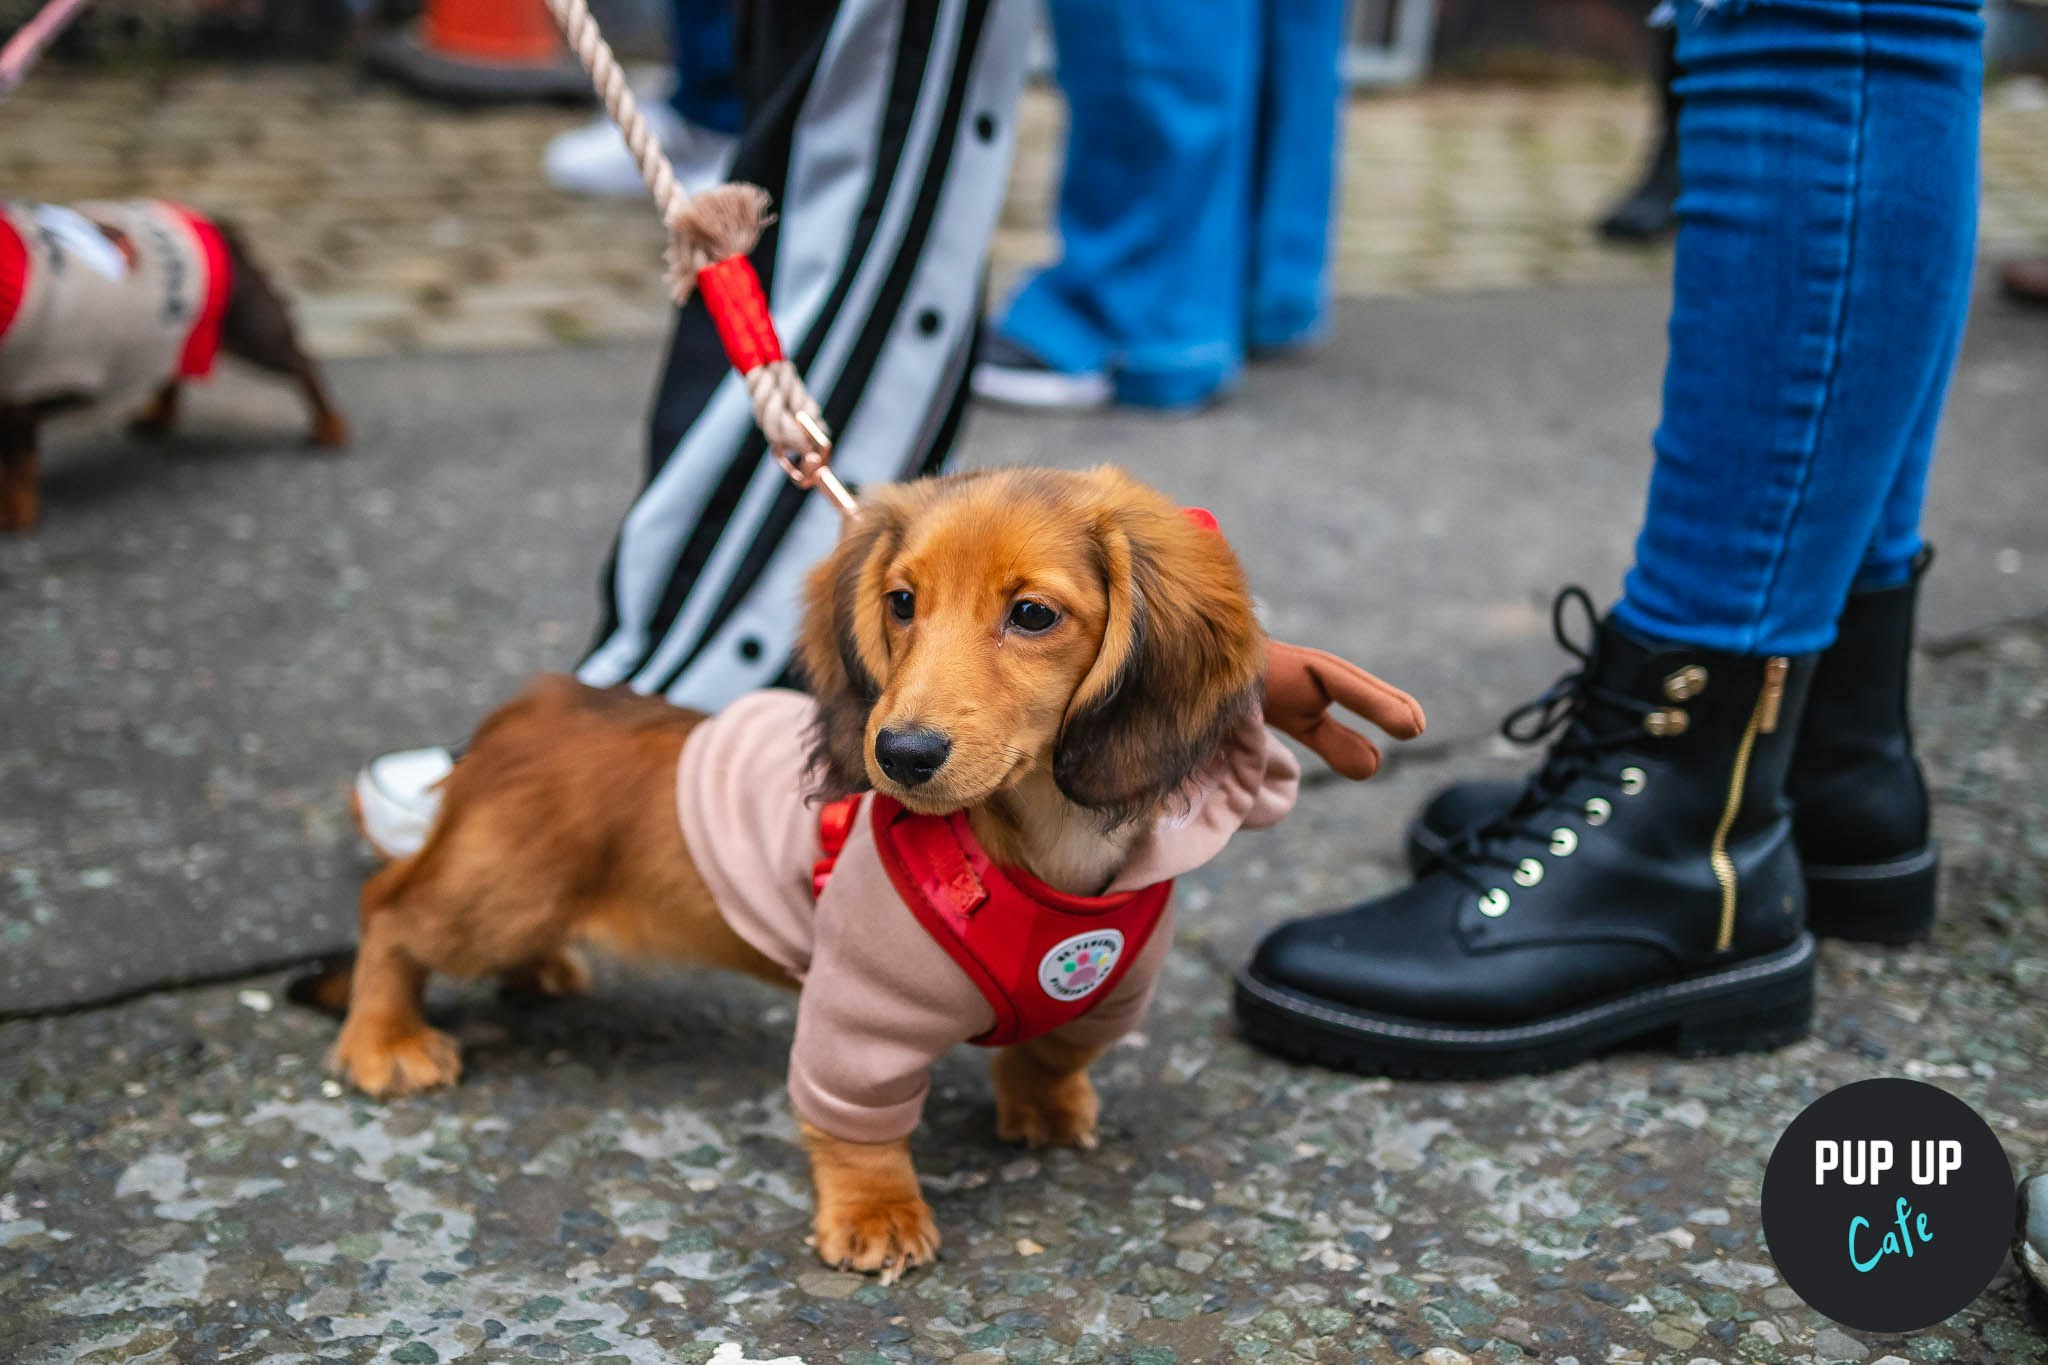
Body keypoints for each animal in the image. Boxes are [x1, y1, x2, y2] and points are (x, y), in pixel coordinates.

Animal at [0, 197, 346, 527]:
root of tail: (221, 228)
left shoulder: (22, 396)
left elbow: (17, 457)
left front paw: (14, 511)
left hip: (254, 329)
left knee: (303, 365)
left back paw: (330, 426)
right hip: (170, 337)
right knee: (170, 374)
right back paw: (159, 418)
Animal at [299, 466, 1425, 1285]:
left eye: (1032, 614)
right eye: (901, 602)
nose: (901, 755)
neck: (1038, 850)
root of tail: (528, 707)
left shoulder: (1105, 993)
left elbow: (1053, 1052)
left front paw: (1044, 1109)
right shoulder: (860, 1016)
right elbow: (861, 1132)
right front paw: (879, 1216)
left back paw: (538, 973)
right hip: (491, 895)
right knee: (387, 910)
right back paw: (385, 1039)